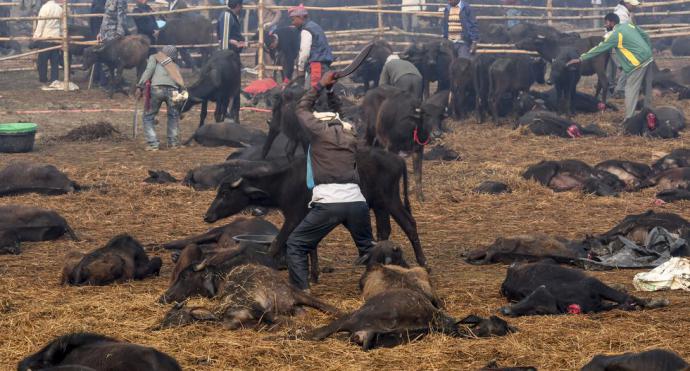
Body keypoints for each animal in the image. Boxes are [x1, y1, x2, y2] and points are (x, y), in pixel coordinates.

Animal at [498, 262, 664, 316]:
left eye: (539, 309)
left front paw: (656, 302)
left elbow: (625, 298)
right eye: (526, 298)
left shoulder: (593, 283)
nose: (505, 310)